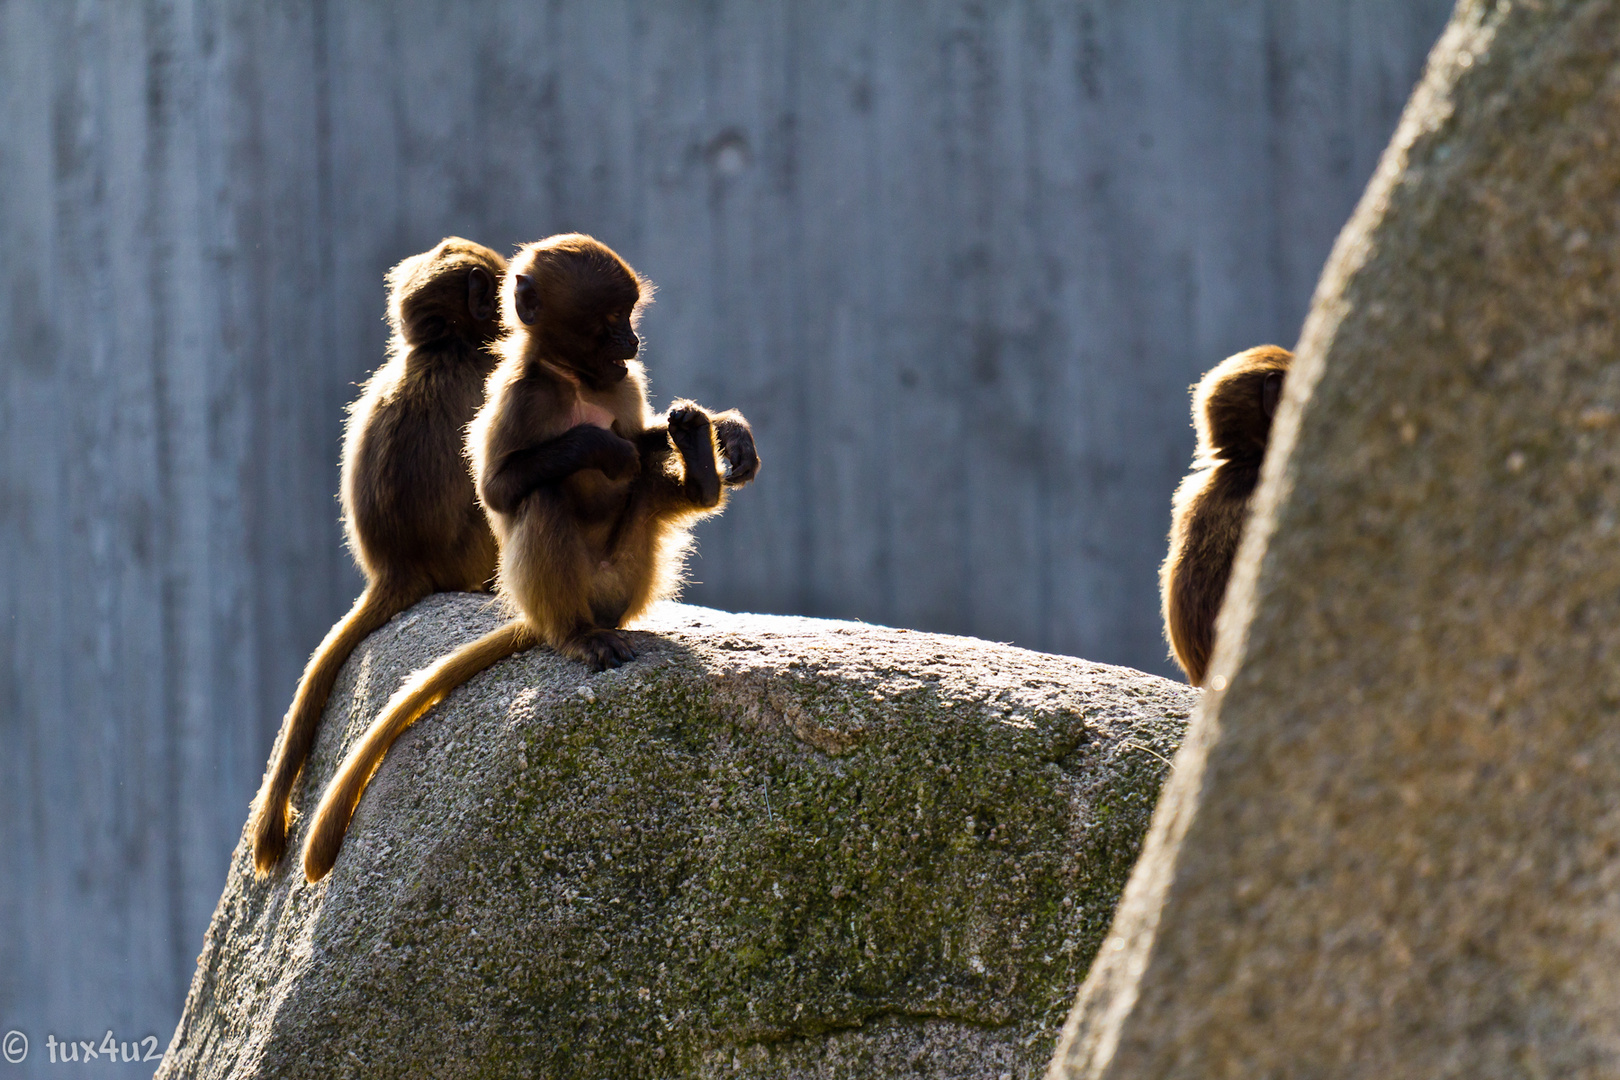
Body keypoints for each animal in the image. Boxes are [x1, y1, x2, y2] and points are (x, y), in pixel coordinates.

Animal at [304, 234, 758, 880]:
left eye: (629, 318)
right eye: (610, 321)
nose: (633, 343)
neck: (575, 381)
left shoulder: (623, 384)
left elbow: (645, 440)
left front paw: (723, 432)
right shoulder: (516, 394)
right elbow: (500, 489)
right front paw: (601, 445)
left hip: (633, 565)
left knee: (646, 486)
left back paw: (699, 469)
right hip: (565, 589)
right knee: (545, 497)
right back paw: (579, 637)